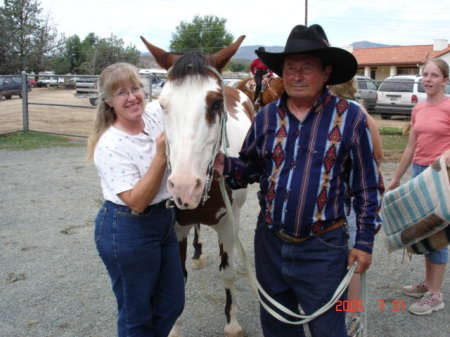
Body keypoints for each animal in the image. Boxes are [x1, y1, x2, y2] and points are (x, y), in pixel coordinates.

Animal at [141, 36, 255, 336]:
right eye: (162, 104)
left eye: (216, 104)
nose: (183, 186)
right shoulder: (177, 227)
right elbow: (177, 279)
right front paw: (174, 328)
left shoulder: (228, 223)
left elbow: (228, 272)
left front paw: (232, 322)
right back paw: (198, 251)